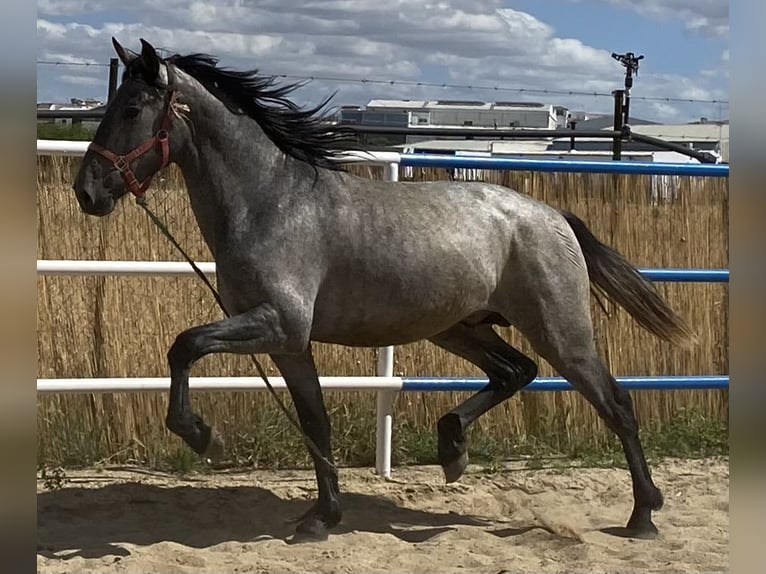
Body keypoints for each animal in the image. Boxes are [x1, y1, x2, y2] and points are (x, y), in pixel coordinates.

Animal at [72, 39, 696, 544]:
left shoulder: (279, 322)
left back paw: (643, 515)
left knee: (615, 403)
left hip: (560, 329)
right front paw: (321, 518)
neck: (270, 201)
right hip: (458, 328)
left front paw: (203, 437)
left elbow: (184, 345)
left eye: (131, 109)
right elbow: (314, 421)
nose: (87, 192)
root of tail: (552, 216)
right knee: (515, 371)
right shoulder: (287, 343)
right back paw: (451, 450)